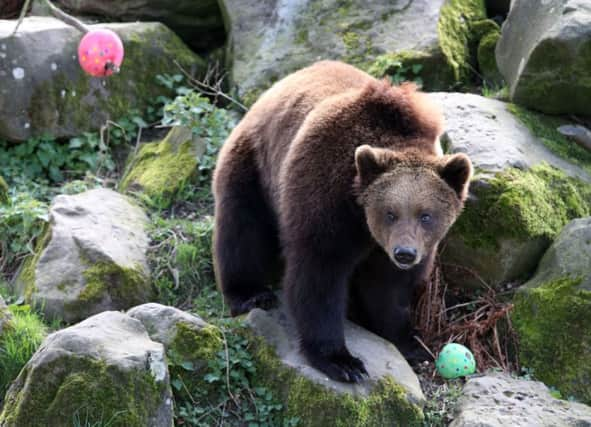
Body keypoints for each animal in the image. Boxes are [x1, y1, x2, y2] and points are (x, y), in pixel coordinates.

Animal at [213, 61, 472, 384]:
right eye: (390, 212)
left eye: (426, 215)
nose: (405, 253)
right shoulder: (325, 199)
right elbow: (319, 274)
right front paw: (342, 361)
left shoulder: (388, 248)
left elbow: (389, 288)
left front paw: (408, 341)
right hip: (254, 166)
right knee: (241, 229)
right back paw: (249, 294)